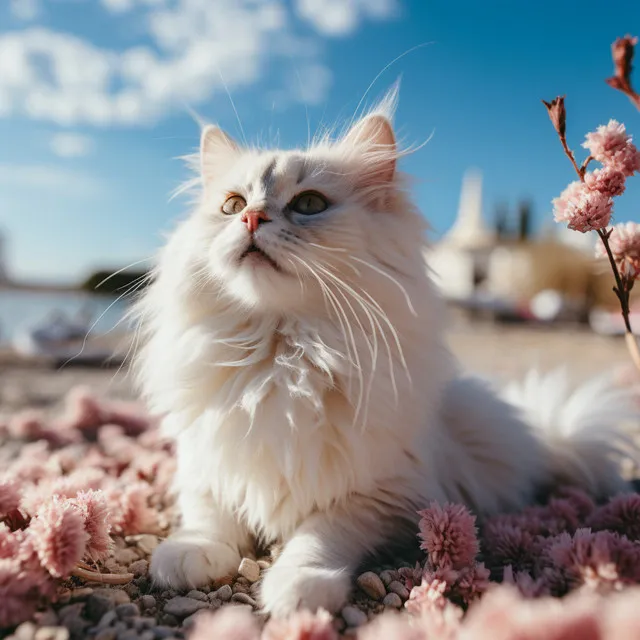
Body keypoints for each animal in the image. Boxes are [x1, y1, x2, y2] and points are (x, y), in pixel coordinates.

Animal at [132, 94, 636, 616]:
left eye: (309, 204)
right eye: (232, 205)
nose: (251, 219)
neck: (283, 357)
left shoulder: (380, 495)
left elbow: (318, 536)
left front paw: (297, 587)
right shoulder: (205, 463)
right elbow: (208, 516)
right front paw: (188, 554)